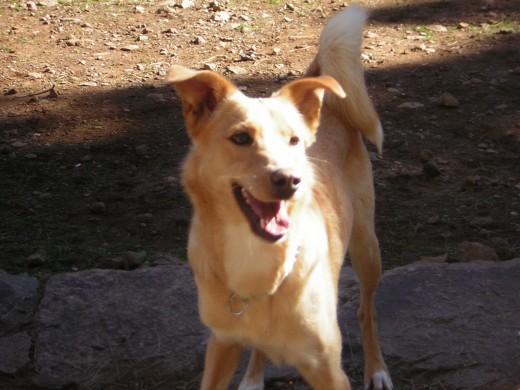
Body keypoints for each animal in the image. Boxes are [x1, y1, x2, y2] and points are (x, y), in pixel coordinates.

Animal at [165, 6, 392, 390]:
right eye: (241, 138)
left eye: (295, 141)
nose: (290, 180)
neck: (257, 261)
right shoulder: (221, 345)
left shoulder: (328, 369)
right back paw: (253, 377)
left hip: (366, 245)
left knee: (368, 310)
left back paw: (376, 369)